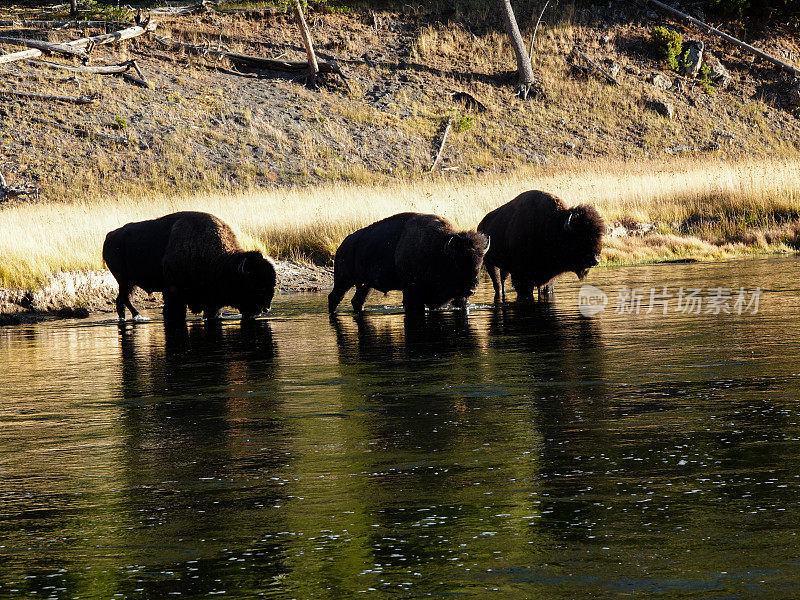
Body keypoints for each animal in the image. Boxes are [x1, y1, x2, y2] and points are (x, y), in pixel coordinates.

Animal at [103, 212, 278, 322]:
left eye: (272, 283)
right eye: (255, 284)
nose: (265, 309)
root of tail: (110, 236)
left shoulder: (212, 302)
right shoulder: (174, 294)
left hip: (128, 282)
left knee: (122, 300)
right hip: (124, 280)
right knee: (123, 299)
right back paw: (137, 316)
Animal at [324, 212, 488, 314]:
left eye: (480, 264)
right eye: (458, 264)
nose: (472, 289)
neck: (440, 249)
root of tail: (342, 246)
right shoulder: (412, 292)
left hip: (366, 285)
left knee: (358, 301)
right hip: (343, 280)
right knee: (335, 297)